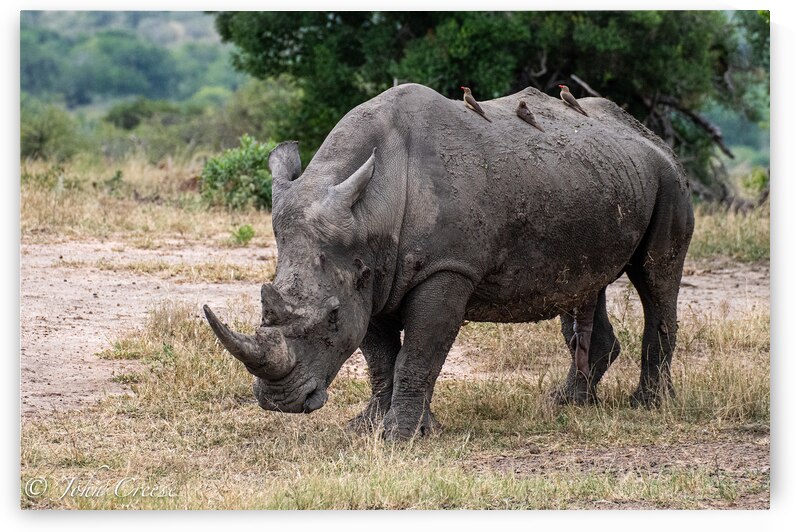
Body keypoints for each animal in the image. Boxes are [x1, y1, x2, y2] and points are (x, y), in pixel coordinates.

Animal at [204, 83, 694, 440]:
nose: (280, 402)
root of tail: (648, 135)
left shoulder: (447, 268)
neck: (370, 209)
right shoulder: (371, 275)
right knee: (585, 286)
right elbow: (381, 356)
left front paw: (400, 437)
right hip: (594, 180)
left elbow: (419, 353)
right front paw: (369, 427)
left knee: (656, 279)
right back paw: (566, 403)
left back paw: (648, 406)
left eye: (331, 317)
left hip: (669, 179)